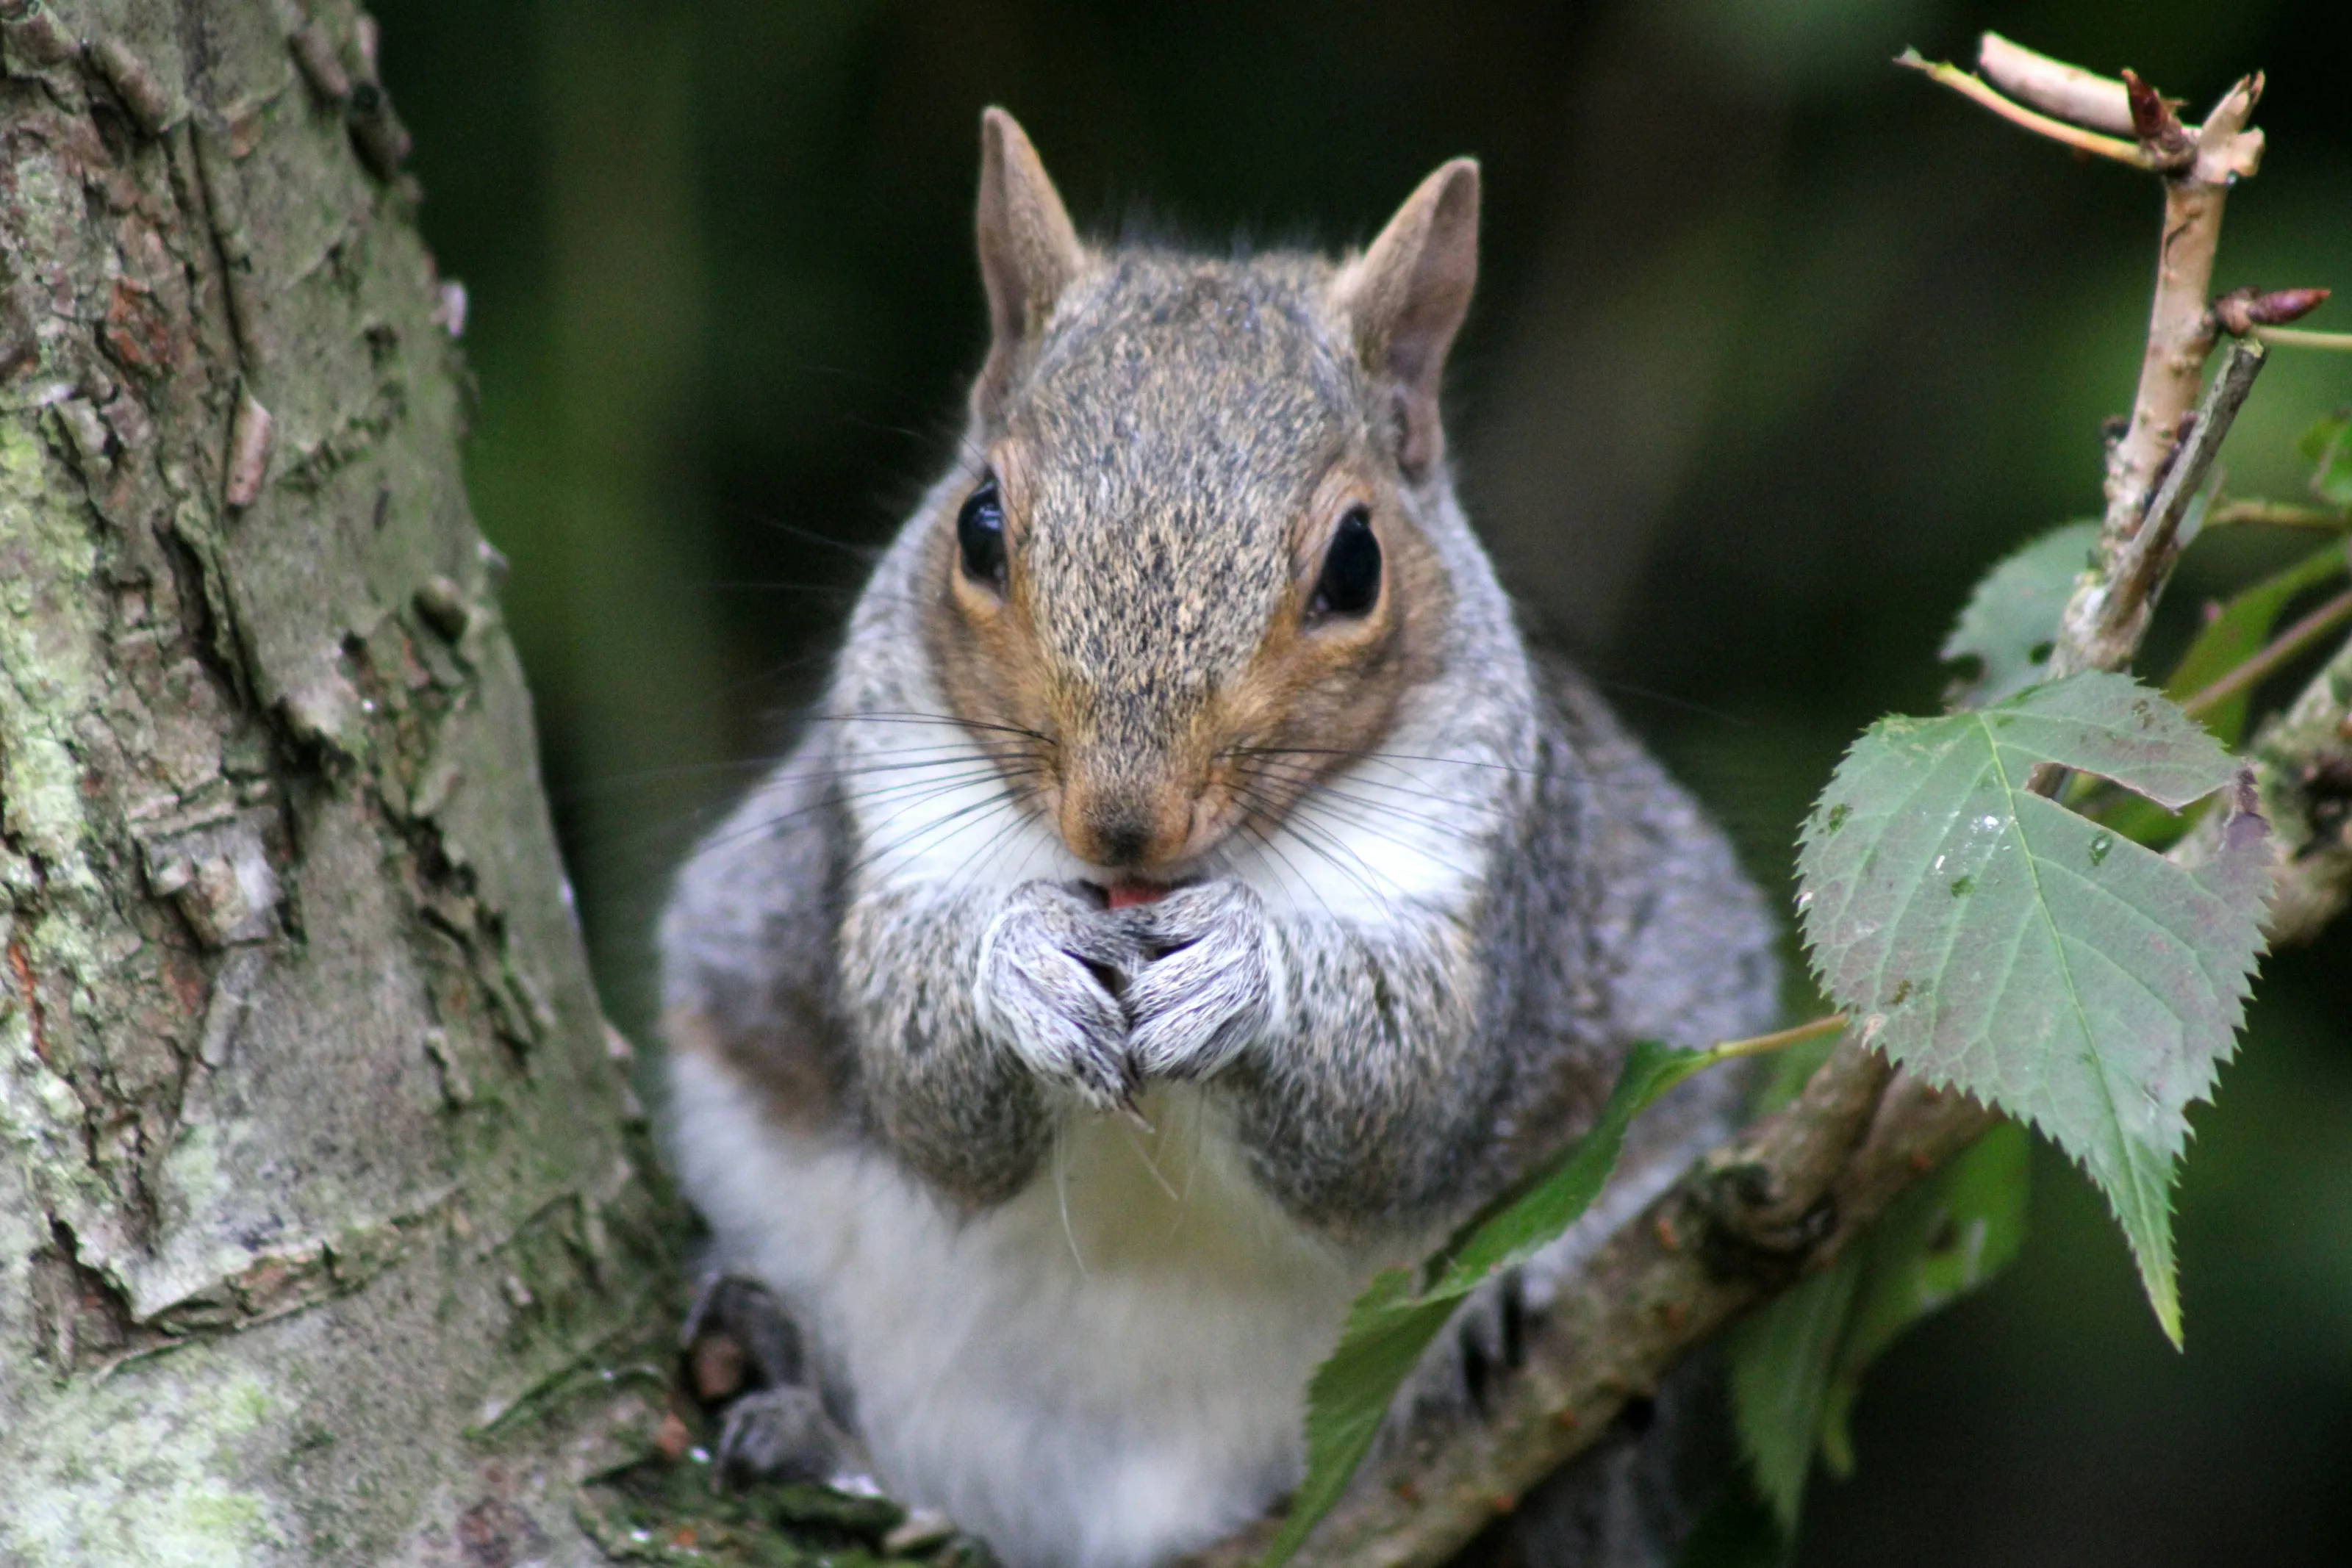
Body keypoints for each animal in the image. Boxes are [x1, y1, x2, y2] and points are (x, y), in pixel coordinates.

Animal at [659, 109, 1779, 1568]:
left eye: (1357, 562)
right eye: (979, 524)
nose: (1122, 818)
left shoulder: (1500, 864)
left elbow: (1405, 1094)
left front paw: (1248, 969)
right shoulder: (879, 819)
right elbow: (927, 1084)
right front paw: (1018, 959)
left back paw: (1495, 1323)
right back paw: (802, 1404)